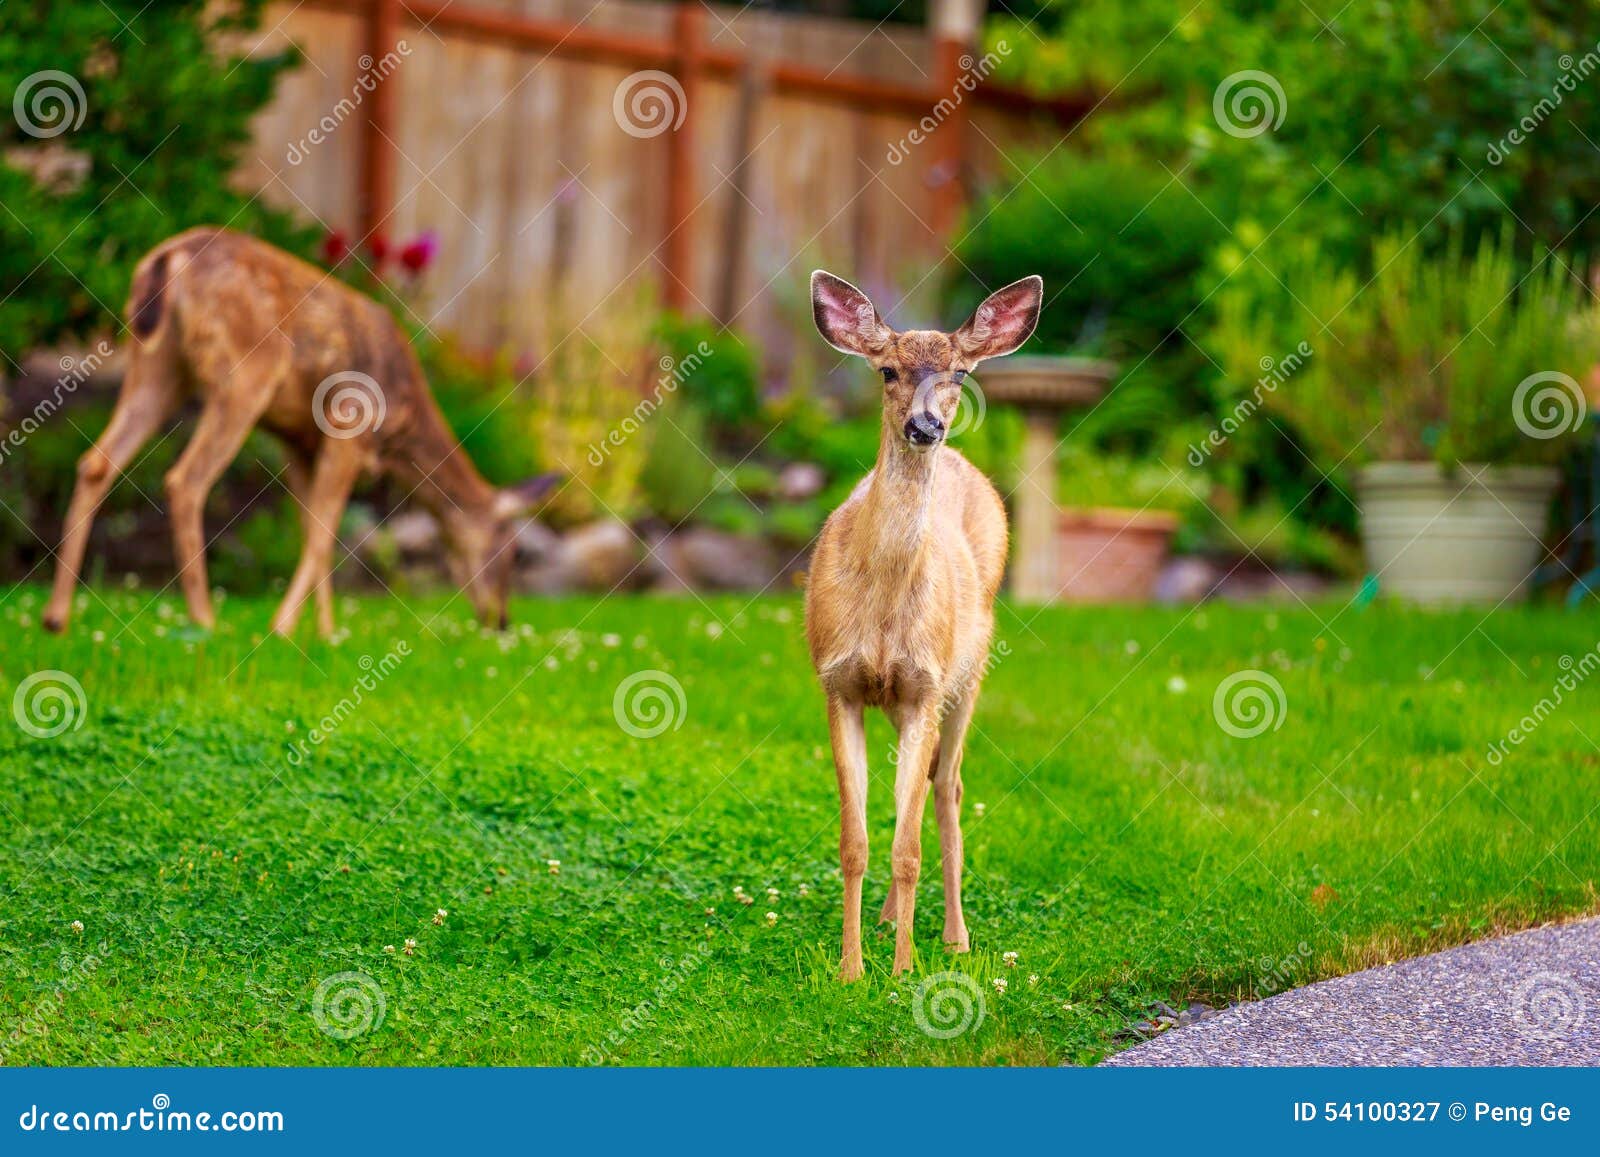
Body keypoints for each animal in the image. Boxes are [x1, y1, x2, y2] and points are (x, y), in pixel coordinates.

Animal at [42, 226, 549, 639]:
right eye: (512, 551)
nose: (501, 621)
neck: (402, 427)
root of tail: (170, 258)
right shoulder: (349, 432)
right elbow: (325, 531)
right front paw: (285, 627)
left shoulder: (299, 441)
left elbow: (310, 529)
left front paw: (324, 633)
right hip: (244, 374)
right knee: (185, 480)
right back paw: (205, 620)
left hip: (157, 363)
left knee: (96, 462)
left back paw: (56, 618)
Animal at [804, 270, 1042, 980]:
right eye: (887, 370)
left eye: (960, 373)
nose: (926, 424)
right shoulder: (840, 684)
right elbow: (855, 840)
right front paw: (852, 969)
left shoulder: (926, 686)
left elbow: (906, 847)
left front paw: (904, 970)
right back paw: (887, 921)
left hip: (967, 673)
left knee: (948, 784)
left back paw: (955, 937)